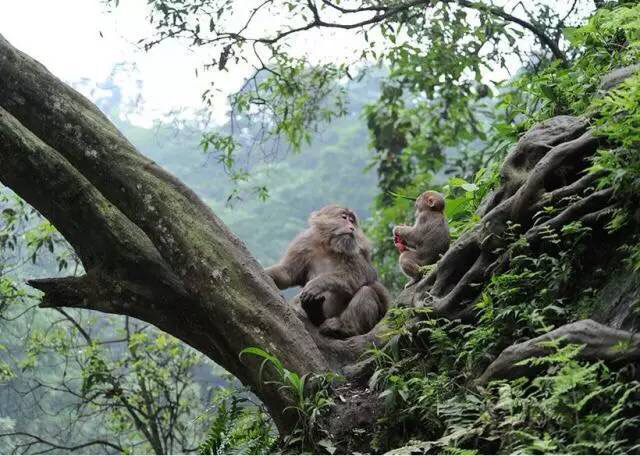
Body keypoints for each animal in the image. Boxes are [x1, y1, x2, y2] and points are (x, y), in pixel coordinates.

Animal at [264, 207, 390, 338]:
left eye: (352, 220)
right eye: (344, 218)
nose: (352, 228)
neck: (328, 246)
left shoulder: (355, 249)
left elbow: (364, 274)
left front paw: (317, 284)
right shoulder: (304, 242)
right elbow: (288, 273)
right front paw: (267, 273)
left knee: (368, 289)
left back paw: (344, 328)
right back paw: (314, 311)